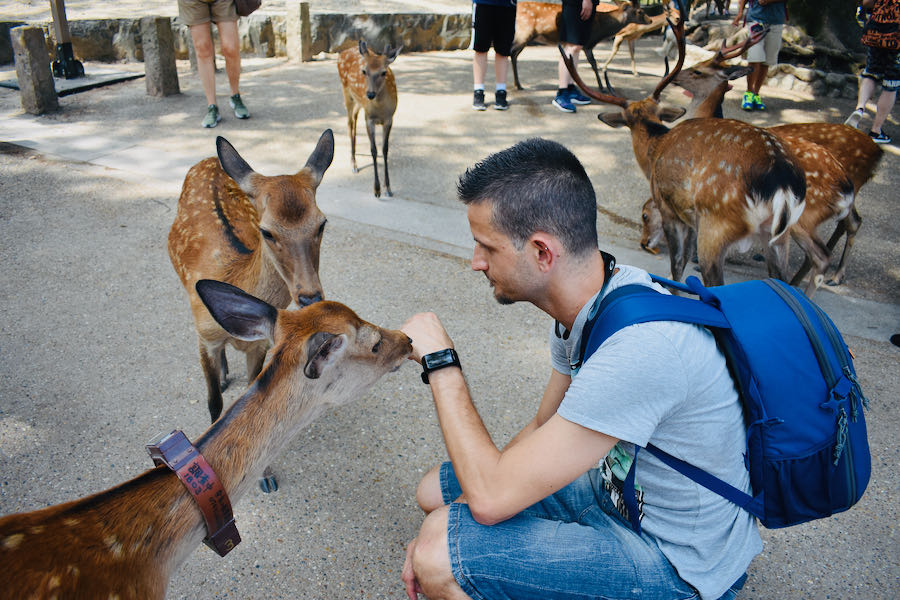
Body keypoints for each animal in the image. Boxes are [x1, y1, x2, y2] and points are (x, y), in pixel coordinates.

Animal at [169, 129, 334, 490]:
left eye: (321, 224)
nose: (309, 295)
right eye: (267, 231)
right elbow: (214, 403)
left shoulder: (261, 343)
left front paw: (266, 475)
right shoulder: (204, 338)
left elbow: (254, 398)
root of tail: (209, 159)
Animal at [338, 40, 400, 199]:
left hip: (359, 103)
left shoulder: (389, 119)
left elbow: (385, 149)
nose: (370, 94)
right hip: (347, 93)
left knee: (354, 119)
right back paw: (353, 163)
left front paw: (388, 188)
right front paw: (376, 190)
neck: (380, 110)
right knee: (349, 123)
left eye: (383, 72)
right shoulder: (369, 119)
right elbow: (373, 150)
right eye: (364, 71)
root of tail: (343, 52)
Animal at [510, 1, 652, 91]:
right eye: (640, 11)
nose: (650, 20)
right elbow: (593, 64)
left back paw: (518, 84)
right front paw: (602, 87)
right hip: (523, 32)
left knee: (514, 55)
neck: (601, 30)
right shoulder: (587, 44)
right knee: (511, 52)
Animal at [564, 13, 808, 286]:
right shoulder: (689, 217)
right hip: (779, 238)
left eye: (645, 216)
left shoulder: (668, 208)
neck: (655, 148)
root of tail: (783, 182)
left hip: (716, 226)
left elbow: (678, 264)